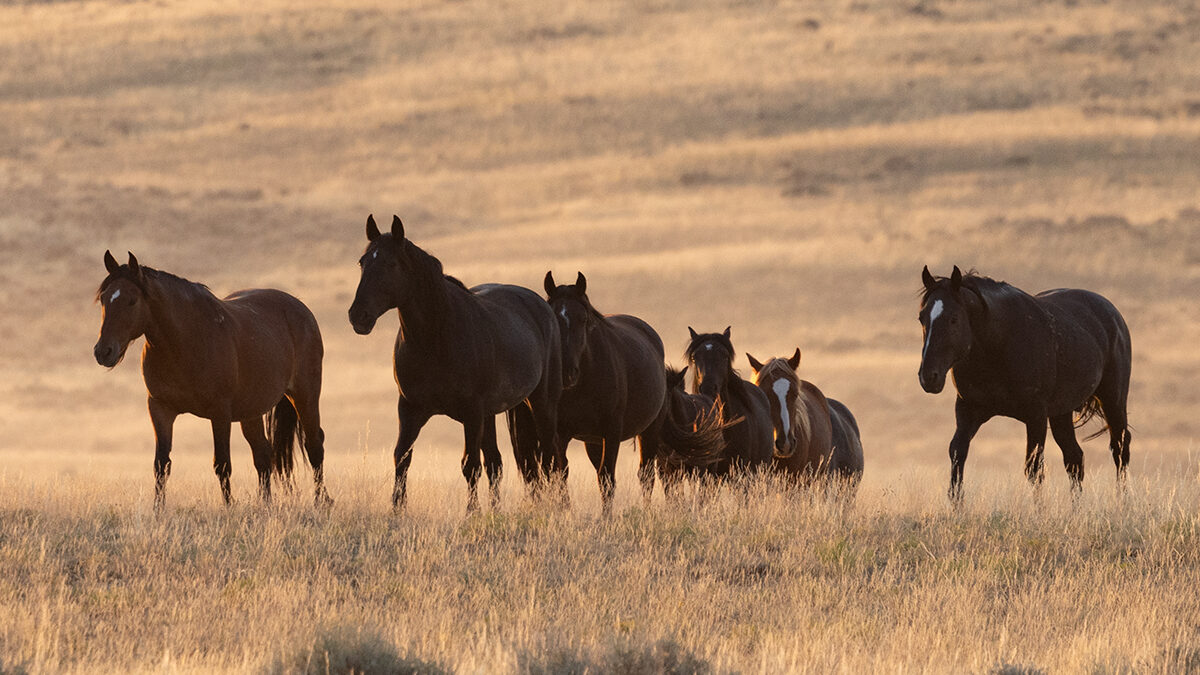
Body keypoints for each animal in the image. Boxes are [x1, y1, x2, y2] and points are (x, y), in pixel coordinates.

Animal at [91, 249, 331, 506]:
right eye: (104, 299)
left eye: (132, 300)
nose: (103, 351)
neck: (185, 342)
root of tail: (302, 310)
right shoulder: (160, 409)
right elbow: (161, 464)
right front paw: (158, 509)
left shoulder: (220, 413)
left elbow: (222, 464)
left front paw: (228, 507)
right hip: (251, 411)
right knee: (263, 454)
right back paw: (265, 504)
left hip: (305, 395)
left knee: (314, 445)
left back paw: (321, 501)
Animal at [350, 214, 564, 509]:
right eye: (362, 262)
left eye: (391, 264)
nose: (358, 315)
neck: (435, 341)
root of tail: (540, 305)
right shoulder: (410, 409)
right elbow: (402, 458)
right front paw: (397, 509)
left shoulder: (471, 413)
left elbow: (469, 465)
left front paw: (471, 513)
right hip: (490, 414)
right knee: (496, 463)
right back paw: (496, 510)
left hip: (541, 404)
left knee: (553, 457)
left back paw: (562, 505)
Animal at [916, 265, 1132, 497]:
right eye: (921, 318)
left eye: (954, 318)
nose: (928, 376)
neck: (999, 343)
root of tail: (1112, 314)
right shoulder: (968, 410)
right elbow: (957, 454)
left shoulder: (1036, 415)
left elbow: (1034, 467)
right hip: (1061, 413)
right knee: (1074, 459)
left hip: (1113, 401)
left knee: (1120, 449)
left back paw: (1122, 500)